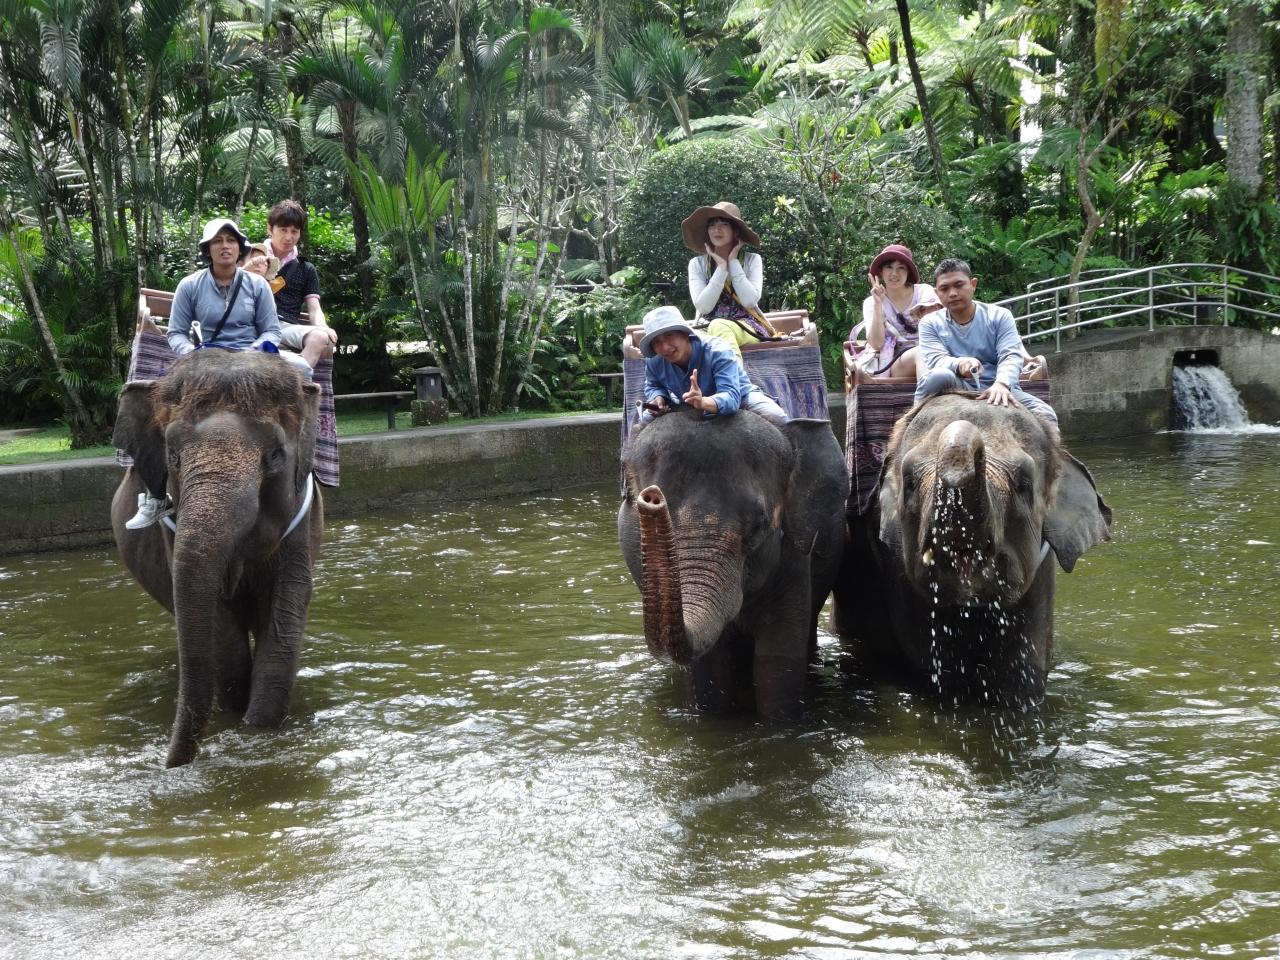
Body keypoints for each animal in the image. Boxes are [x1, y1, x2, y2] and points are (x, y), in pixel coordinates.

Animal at [111, 349, 323, 767]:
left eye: (275, 456)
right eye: (172, 456)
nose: (168, 765)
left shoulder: (300, 519)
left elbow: (285, 612)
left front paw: (258, 728)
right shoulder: (172, 528)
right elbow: (220, 630)